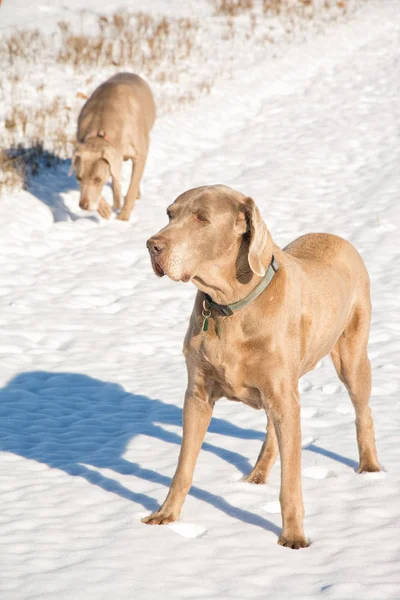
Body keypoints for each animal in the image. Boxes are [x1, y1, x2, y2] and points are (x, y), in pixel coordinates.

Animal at [70, 73, 155, 220]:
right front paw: (104, 208)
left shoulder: (139, 155)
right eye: (78, 178)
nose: (83, 205)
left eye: (98, 180)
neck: (101, 130)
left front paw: (123, 217)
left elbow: (132, 187)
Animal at [145, 185, 382, 552]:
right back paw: (257, 473)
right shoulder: (197, 396)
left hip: (351, 356)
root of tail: (338, 238)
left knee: (363, 410)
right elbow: (183, 466)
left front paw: (294, 536)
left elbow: (291, 482)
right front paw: (166, 515)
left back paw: (369, 467)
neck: (229, 305)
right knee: (272, 428)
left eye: (201, 218)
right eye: (170, 214)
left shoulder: (284, 396)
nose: (152, 245)